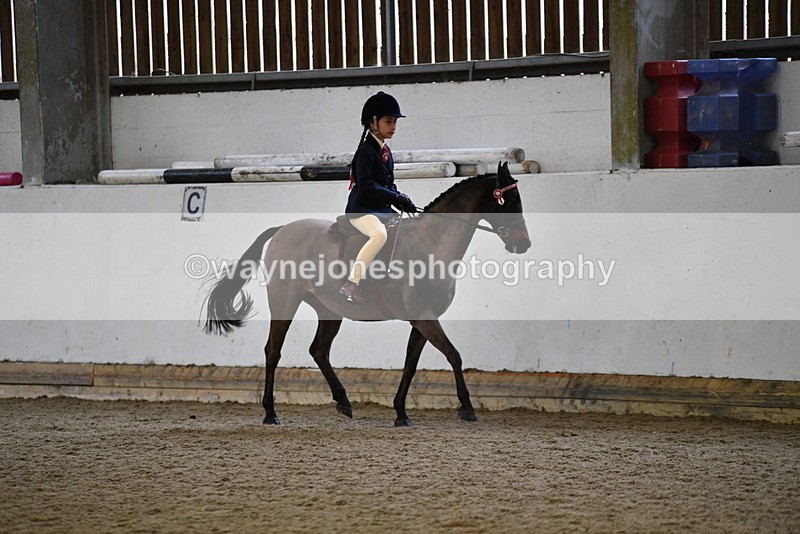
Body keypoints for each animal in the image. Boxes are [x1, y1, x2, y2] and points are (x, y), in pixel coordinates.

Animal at [203, 162, 531, 426]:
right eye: (510, 200)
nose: (524, 244)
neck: (431, 242)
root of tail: (284, 228)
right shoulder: (425, 317)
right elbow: (454, 355)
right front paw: (466, 407)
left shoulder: (422, 320)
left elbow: (411, 365)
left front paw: (401, 413)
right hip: (285, 302)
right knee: (273, 351)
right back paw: (271, 413)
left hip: (329, 310)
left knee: (319, 350)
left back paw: (343, 401)